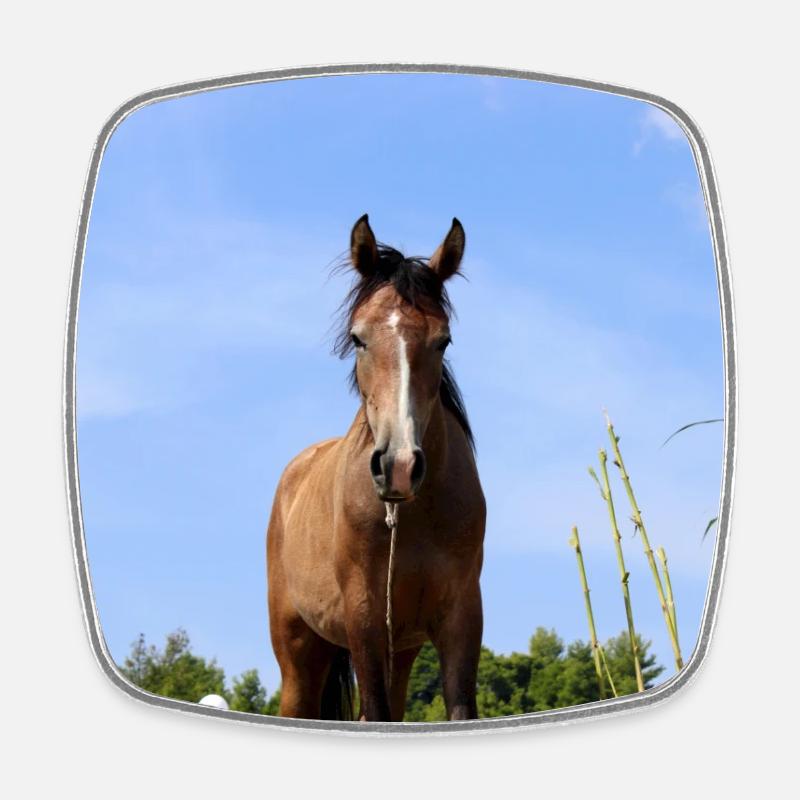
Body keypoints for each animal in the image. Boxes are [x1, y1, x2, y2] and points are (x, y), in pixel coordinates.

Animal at [266, 215, 486, 722]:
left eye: (443, 340)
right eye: (358, 338)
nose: (399, 465)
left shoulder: (461, 615)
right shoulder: (363, 616)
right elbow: (375, 710)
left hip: (400, 648)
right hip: (299, 655)